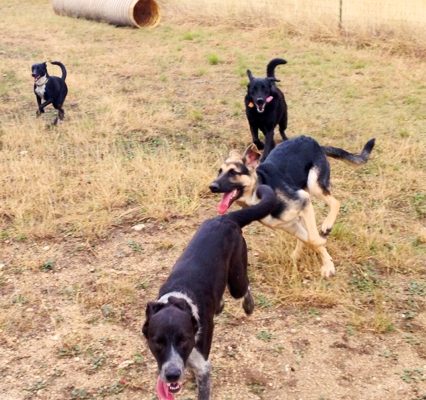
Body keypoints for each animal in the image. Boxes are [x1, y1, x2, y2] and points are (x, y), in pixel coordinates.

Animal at [143, 185, 276, 400]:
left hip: (236, 279)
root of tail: (227, 218)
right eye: (157, 342)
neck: (177, 300)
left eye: (184, 339)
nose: (172, 375)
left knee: (245, 287)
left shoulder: (203, 367)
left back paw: (248, 306)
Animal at [208, 134, 374, 278]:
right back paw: (296, 254)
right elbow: (309, 240)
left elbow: (313, 239)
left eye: (233, 172)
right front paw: (326, 260)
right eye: (219, 171)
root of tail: (314, 142)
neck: (259, 191)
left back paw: (327, 225)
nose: (212, 187)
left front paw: (328, 265)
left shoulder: (303, 201)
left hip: (314, 186)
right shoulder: (289, 224)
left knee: (335, 202)